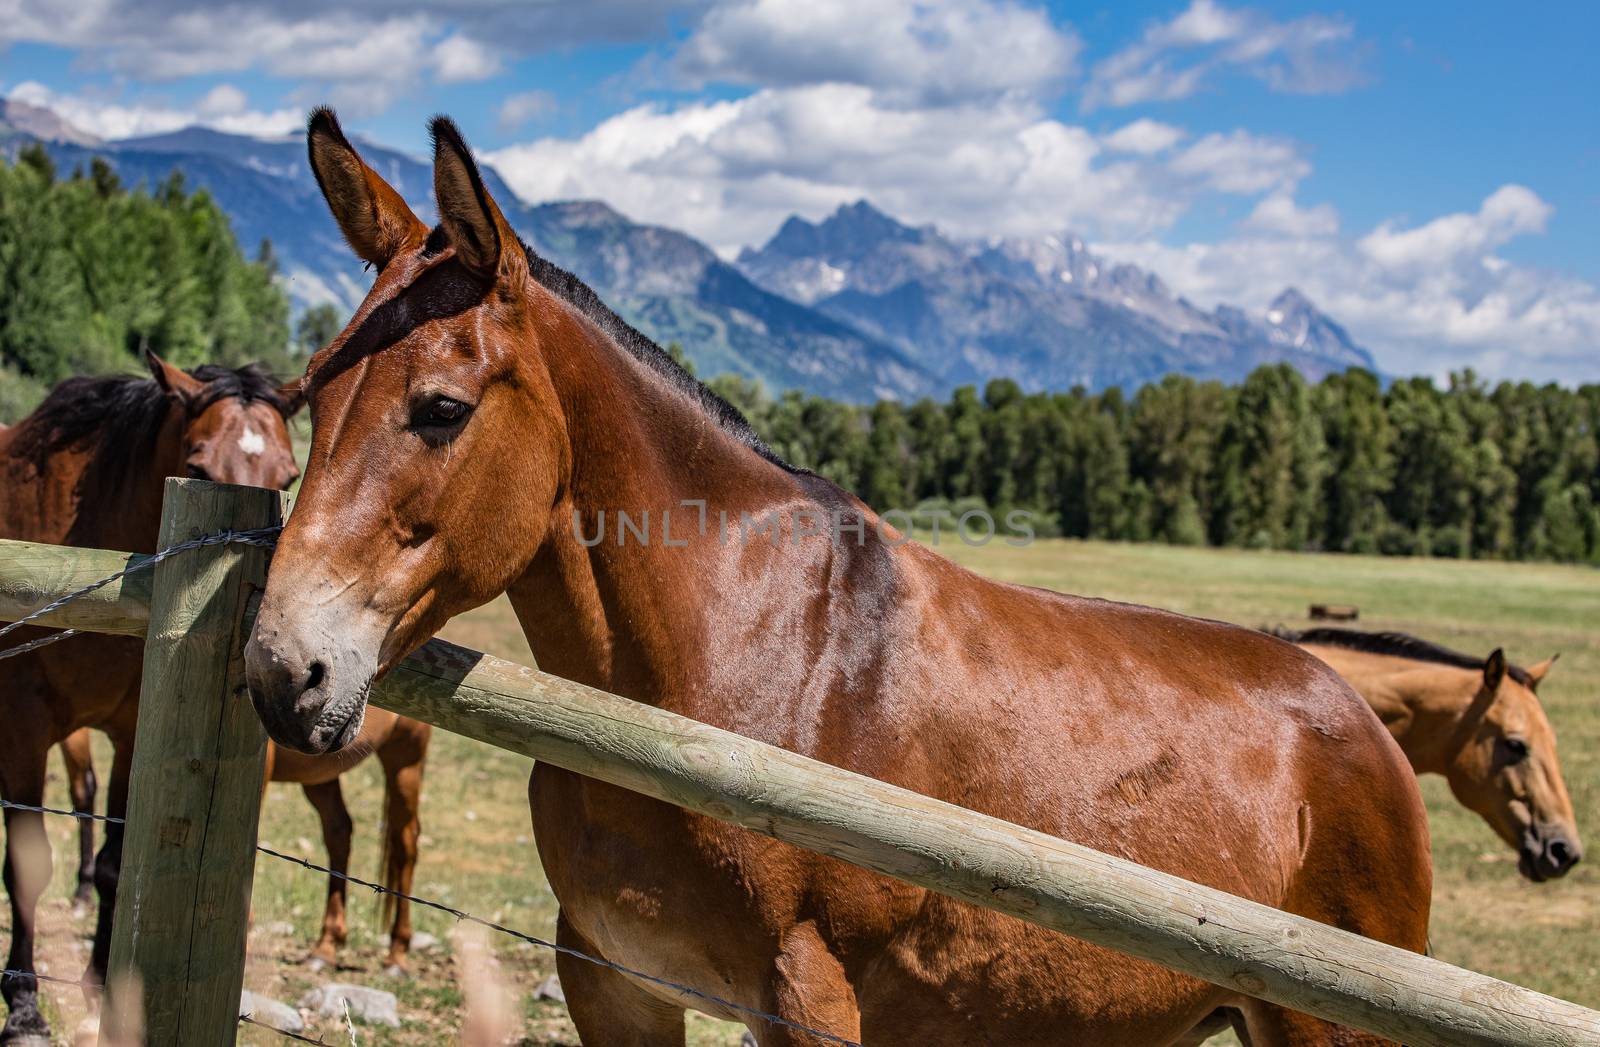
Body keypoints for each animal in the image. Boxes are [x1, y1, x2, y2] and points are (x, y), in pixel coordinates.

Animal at [0, 357, 302, 1043]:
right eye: (197, 465)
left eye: (288, 477)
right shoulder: (23, 728)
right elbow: (27, 868)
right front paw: (24, 1007)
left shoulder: (131, 727)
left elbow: (116, 862)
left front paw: (104, 988)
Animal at [249, 108, 1440, 1047]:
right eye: (309, 396)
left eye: (441, 410)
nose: (281, 669)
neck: (725, 677)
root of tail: (1354, 712)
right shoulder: (614, 982)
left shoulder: (806, 1001)